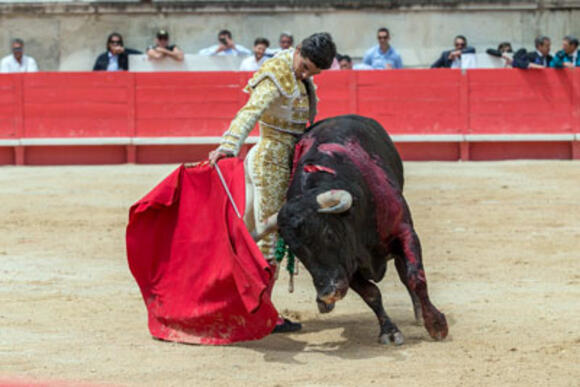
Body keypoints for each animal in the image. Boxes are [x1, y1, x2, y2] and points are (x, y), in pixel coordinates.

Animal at [274, 113, 450, 344]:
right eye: (297, 252)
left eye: (329, 234)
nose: (327, 293)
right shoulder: (348, 264)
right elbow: (371, 293)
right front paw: (389, 331)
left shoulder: (405, 232)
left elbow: (415, 276)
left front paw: (436, 324)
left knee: (405, 273)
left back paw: (420, 313)